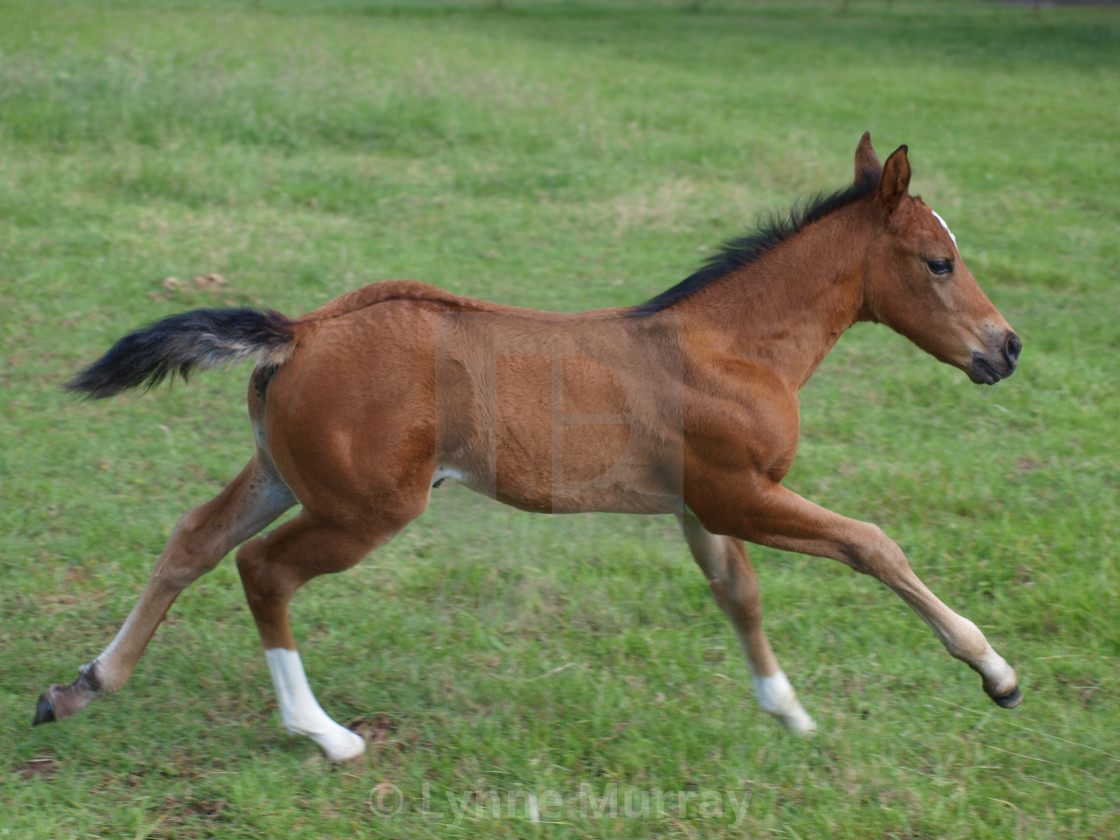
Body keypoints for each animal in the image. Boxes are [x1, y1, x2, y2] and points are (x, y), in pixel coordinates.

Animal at [37, 136, 1025, 761]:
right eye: (938, 262)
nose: (1006, 348)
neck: (732, 345)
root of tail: (301, 331)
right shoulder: (740, 493)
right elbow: (872, 543)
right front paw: (997, 674)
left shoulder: (702, 503)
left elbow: (737, 594)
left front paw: (792, 717)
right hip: (367, 508)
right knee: (264, 571)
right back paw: (327, 736)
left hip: (286, 474)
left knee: (194, 541)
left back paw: (82, 685)